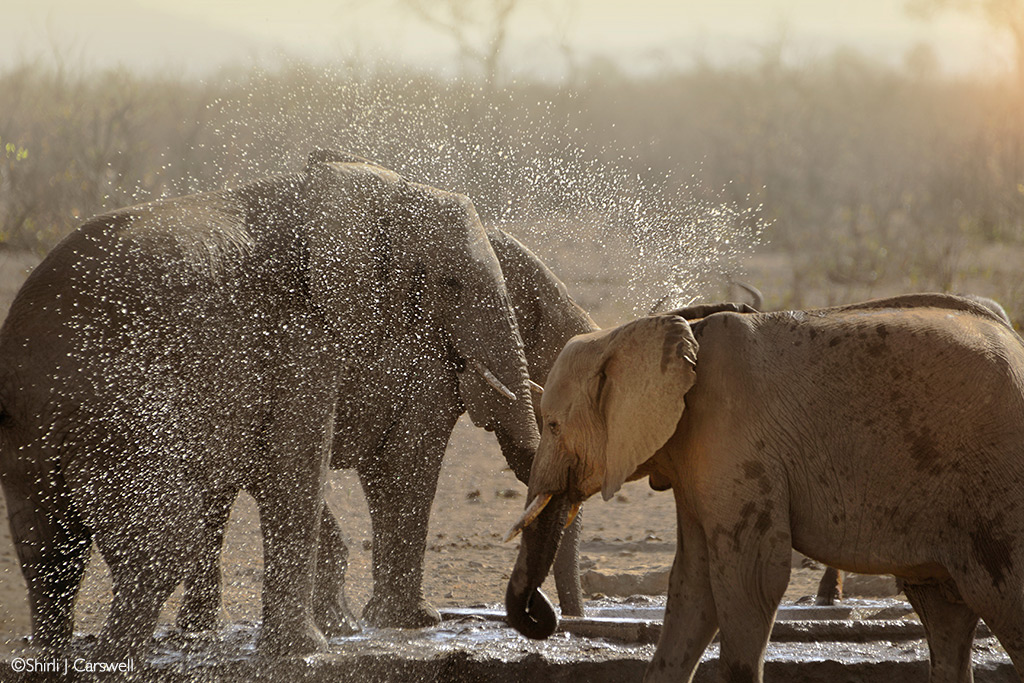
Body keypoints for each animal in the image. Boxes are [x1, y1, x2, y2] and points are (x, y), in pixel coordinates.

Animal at [0, 150, 544, 655]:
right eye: (453, 283)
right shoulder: (300, 333)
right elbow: (304, 462)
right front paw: (307, 650)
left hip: (33, 428)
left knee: (49, 547)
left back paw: (66, 656)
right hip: (116, 408)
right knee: (165, 534)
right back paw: (116, 657)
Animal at [501, 294, 1024, 683]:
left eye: (552, 425)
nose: (543, 616)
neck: (638, 331)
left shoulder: (736, 439)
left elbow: (752, 576)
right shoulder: (698, 454)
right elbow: (693, 584)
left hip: (997, 485)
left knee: (1001, 601)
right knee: (944, 614)